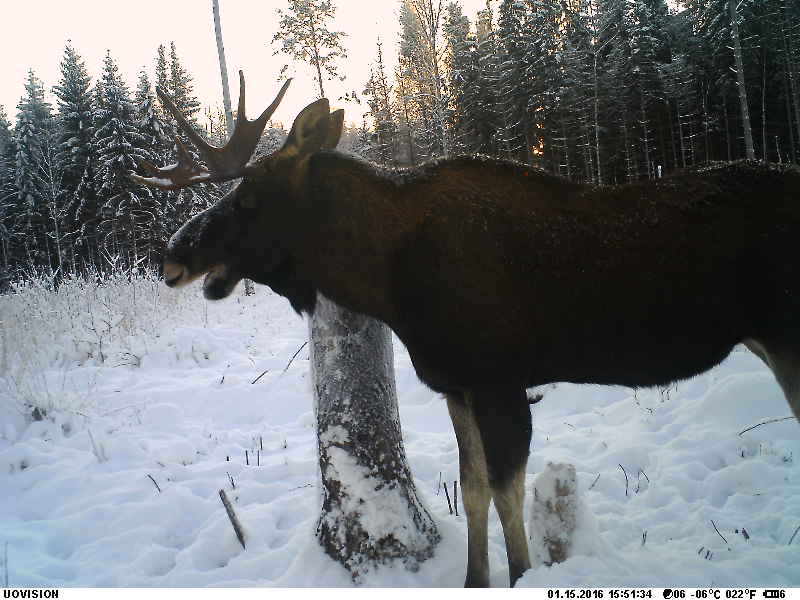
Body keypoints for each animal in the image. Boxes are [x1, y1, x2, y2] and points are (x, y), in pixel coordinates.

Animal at [133, 72, 800, 588]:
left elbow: (507, 492)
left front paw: (522, 574)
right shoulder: (456, 384)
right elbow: (472, 486)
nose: (172, 257)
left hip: (786, 335)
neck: (388, 280)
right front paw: (474, 578)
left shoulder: (500, 380)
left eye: (248, 196)